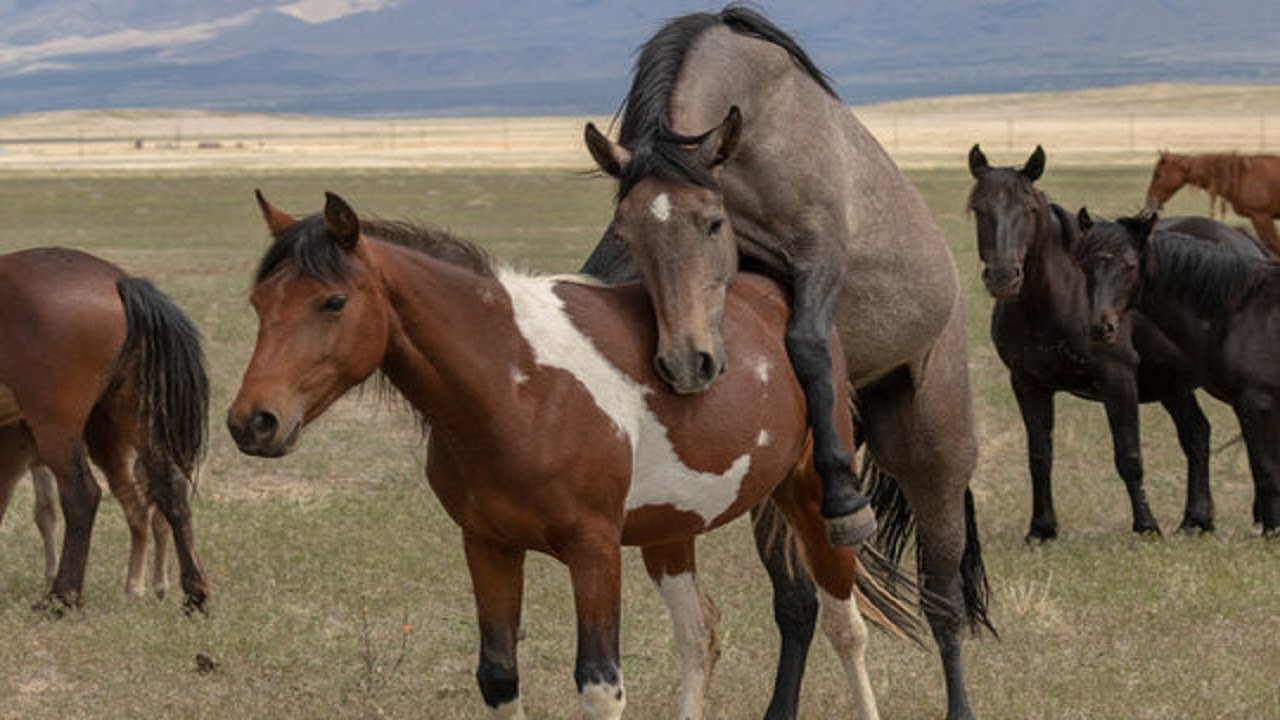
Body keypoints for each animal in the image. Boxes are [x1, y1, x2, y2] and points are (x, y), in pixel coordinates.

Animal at [0, 247, 209, 610]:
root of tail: (118, 280)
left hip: (58, 428)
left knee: (82, 495)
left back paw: (63, 597)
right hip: (132, 415)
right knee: (170, 487)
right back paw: (193, 593)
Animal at [228, 191, 925, 720]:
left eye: (332, 301)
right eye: (259, 304)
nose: (252, 422)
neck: (516, 387)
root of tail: (779, 300)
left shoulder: (593, 552)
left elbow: (599, 685)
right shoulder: (488, 546)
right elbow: (499, 677)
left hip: (810, 499)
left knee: (845, 628)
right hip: (670, 532)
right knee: (699, 637)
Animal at [579, 8, 988, 719]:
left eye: (712, 223)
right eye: (630, 229)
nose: (685, 365)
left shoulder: (821, 253)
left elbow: (808, 343)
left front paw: (846, 497)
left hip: (934, 450)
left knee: (943, 600)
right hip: (777, 492)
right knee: (796, 605)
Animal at [1074, 210, 1280, 534]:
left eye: (1129, 266)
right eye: (1083, 265)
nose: (1101, 327)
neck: (1243, 309)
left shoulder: (1257, 401)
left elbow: (1266, 470)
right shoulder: (1248, 404)